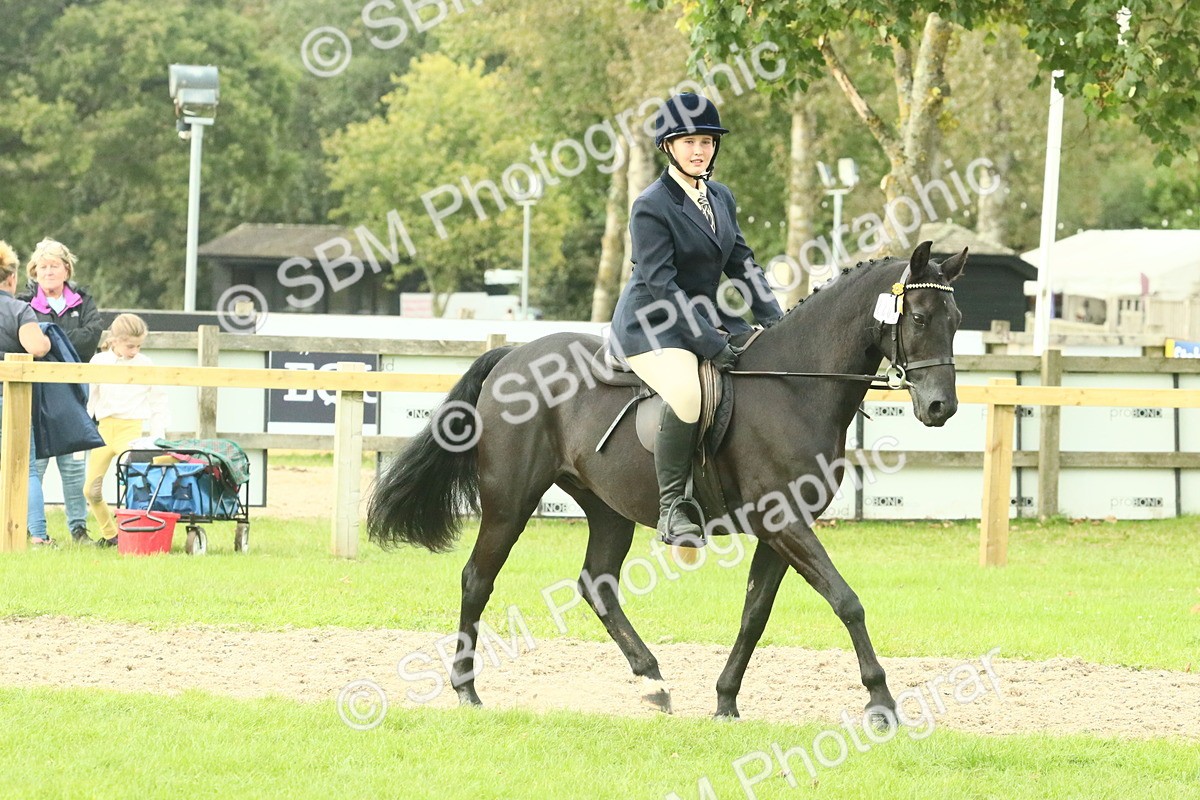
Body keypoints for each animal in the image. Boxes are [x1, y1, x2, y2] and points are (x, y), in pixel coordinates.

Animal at [368, 240, 966, 722]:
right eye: (918, 317)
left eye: (956, 319)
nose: (941, 408)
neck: (795, 385)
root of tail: (513, 355)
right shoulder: (785, 523)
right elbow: (846, 601)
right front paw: (881, 701)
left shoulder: (780, 529)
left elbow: (755, 614)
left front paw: (725, 701)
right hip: (510, 501)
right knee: (478, 579)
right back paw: (467, 691)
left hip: (607, 508)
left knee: (597, 583)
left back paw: (653, 680)